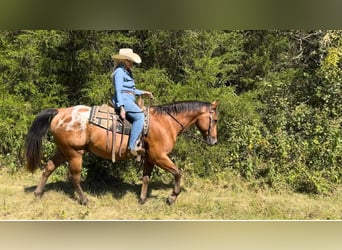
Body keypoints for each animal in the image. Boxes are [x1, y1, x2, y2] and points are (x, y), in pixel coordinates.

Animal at [26, 100, 219, 205]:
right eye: (215, 120)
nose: (214, 141)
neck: (165, 123)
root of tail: (60, 112)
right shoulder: (159, 156)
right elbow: (178, 173)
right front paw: (172, 197)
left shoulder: (150, 158)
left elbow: (146, 178)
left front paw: (142, 199)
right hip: (75, 153)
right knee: (74, 177)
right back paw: (84, 200)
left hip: (63, 150)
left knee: (48, 168)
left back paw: (38, 193)